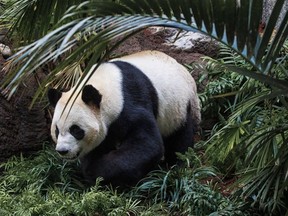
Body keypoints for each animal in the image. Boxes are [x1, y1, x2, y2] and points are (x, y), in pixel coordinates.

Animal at [48, 50, 200, 186]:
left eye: (76, 130)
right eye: (56, 130)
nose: (62, 150)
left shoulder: (130, 102)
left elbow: (147, 144)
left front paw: (101, 173)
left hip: (179, 106)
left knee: (180, 136)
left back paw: (175, 165)